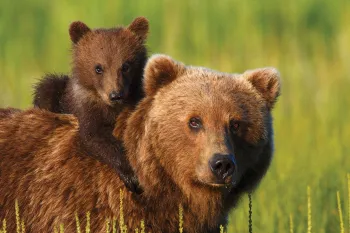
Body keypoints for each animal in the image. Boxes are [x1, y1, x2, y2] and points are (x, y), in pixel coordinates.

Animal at [31, 17, 149, 194]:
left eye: (125, 66)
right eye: (98, 68)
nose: (115, 95)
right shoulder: (85, 109)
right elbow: (94, 137)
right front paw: (132, 176)